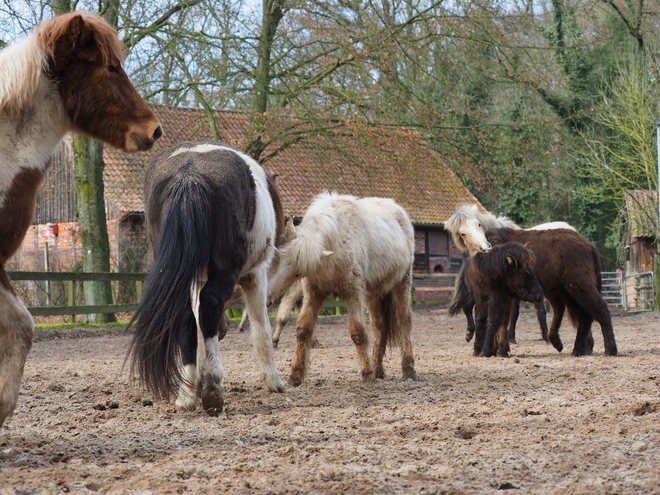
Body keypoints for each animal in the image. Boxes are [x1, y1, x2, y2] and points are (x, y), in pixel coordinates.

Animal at [127, 140, 284, 414]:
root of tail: (189, 173)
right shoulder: (256, 275)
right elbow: (261, 327)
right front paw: (272, 380)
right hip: (226, 270)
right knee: (210, 305)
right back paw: (212, 386)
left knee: (185, 316)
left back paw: (188, 393)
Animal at [484, 227, 620, 358]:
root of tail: (589, 246)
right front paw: (495, 349)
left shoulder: (504, 296)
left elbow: (501, 321)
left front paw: (501, 350)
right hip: (568, 292)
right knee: (581, 316)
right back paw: (576, 349)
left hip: (579, 287)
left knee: (599, 309)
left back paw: (609, 349)